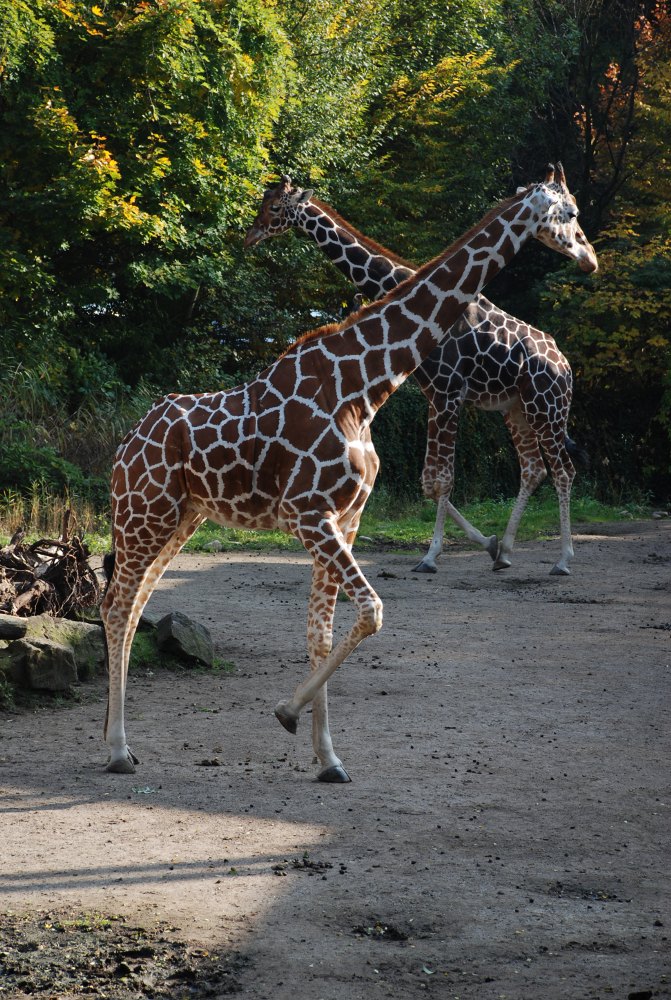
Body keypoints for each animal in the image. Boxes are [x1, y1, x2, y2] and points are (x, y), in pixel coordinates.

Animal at [245, 172, 588, 576]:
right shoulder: (431, 394)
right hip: (515, 409)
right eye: (264, 203)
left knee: (563, 470)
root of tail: (565, 365)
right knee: (533, 468)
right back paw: (504, 551)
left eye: (275, 208)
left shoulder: (447, 393)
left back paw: (563, 560)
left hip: (546, 407)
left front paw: (431, 556)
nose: (250, 237)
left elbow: (441, 480)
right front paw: (485, 544)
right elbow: (428, 480)